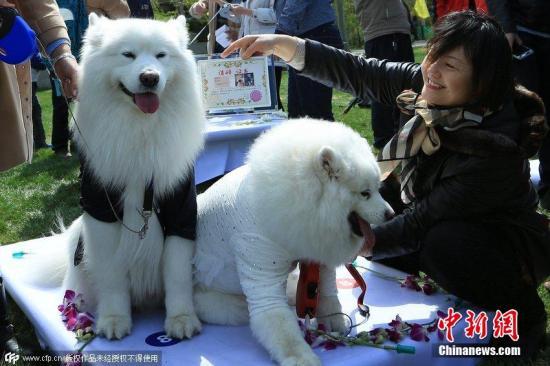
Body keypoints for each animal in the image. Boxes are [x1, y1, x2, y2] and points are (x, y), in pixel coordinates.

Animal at [30, 14, 207, 340]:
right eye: (128, 55)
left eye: (161, 56)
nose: (150, 77)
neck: (140, 129)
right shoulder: (101, 211)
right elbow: (112, 278)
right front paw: (114, 320)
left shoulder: (180, 212)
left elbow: (177, 275)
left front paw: (181, 319)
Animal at [194, 118, 392, 364]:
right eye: (365, 193)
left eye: (377, 189)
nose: (391, 214)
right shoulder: (257, 255)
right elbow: (277, 321)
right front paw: (302, 358)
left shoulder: (317, 247)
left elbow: (328, 292)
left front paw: (335, 322)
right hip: (215, 302)